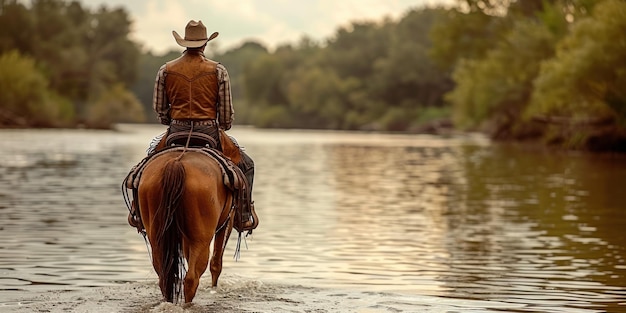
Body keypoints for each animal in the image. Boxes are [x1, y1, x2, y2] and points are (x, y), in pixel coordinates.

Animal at [136, 149, 234, 302]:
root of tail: (175, 163)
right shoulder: (227, 221)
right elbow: (216, 263)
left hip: (157, 237)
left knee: (164, 277)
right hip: (201, 240)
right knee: (191, 279)